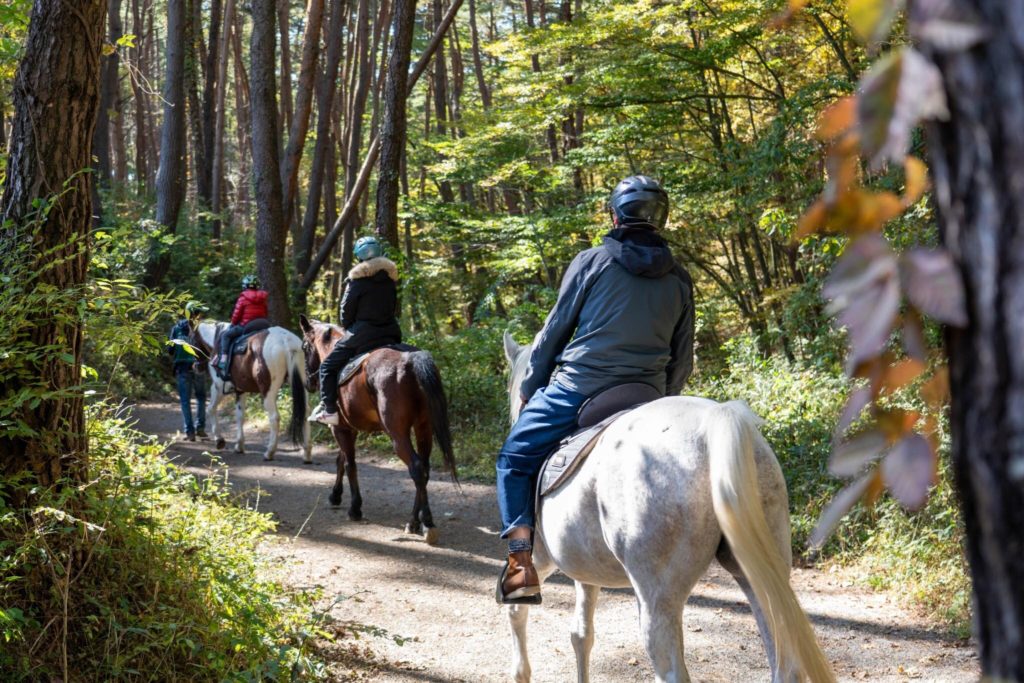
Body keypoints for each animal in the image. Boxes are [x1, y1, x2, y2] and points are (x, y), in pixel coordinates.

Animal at [192, 321, 311, 464]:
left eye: (192, 340)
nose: (196, 367)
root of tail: (285, 340)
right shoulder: (240, 390)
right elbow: (240, 415)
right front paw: (239, 445)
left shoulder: (218, 386)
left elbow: (210, 409)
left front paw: (219, 440)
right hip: (301, 384)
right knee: (305, 413)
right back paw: (307, 453)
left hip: (268, 391)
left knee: (274, 417)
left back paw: (269, 452)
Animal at [296, 315, 456, 544]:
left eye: (304, 347)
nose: (309, 383)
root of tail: (411, 360)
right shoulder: (349, 428)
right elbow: (341, 460)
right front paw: (336, 495)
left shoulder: (340, 429)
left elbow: (350, 465)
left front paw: (355, 508)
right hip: (423, 427)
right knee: (424, 469)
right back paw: (415, 522)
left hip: (398, 435)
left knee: (416, 468)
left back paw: (426, 523)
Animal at [501, 331, 831, 683]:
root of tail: (712, 423)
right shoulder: (586, 570)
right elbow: (581, 635)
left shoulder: (541, 560)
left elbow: (519, 610)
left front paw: (520, 673)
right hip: (762, 574)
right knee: (785, 665)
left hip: (657, 600)